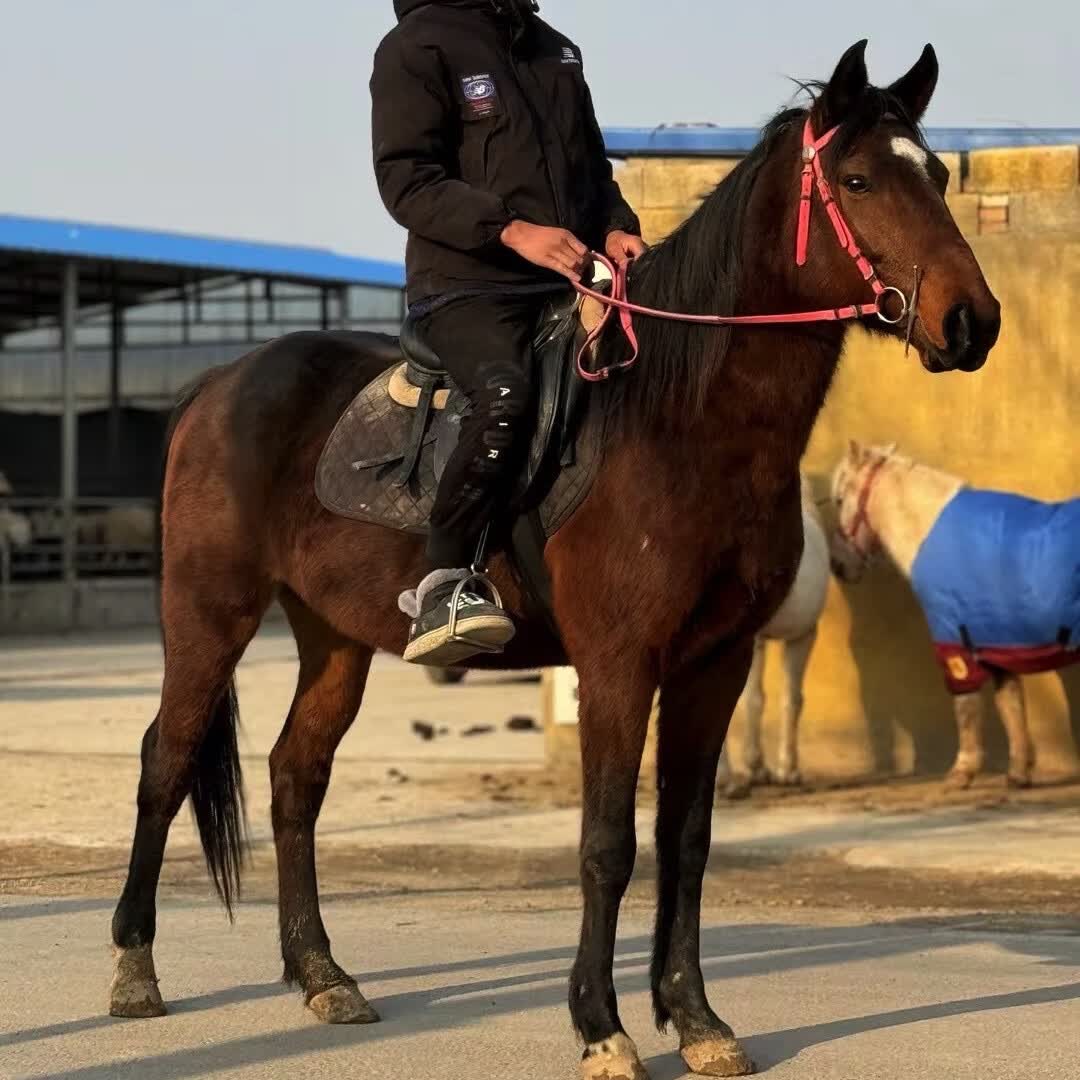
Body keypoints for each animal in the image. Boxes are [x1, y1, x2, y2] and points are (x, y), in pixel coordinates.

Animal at [721, 476, 829, 797]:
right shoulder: (804, 634)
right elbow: (791, 699)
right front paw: (787, 770)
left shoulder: (758, 640)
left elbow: (754, 699)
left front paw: (758, 768)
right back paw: (728, 781)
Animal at [830, 443, 1078, 790]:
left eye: (840, 499)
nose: (838, 565)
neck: (934, 535)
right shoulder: (995, 642)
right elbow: (1010, 705)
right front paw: (1017, 773)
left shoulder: (954, 641)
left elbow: (966, 707)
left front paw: (961, 772)